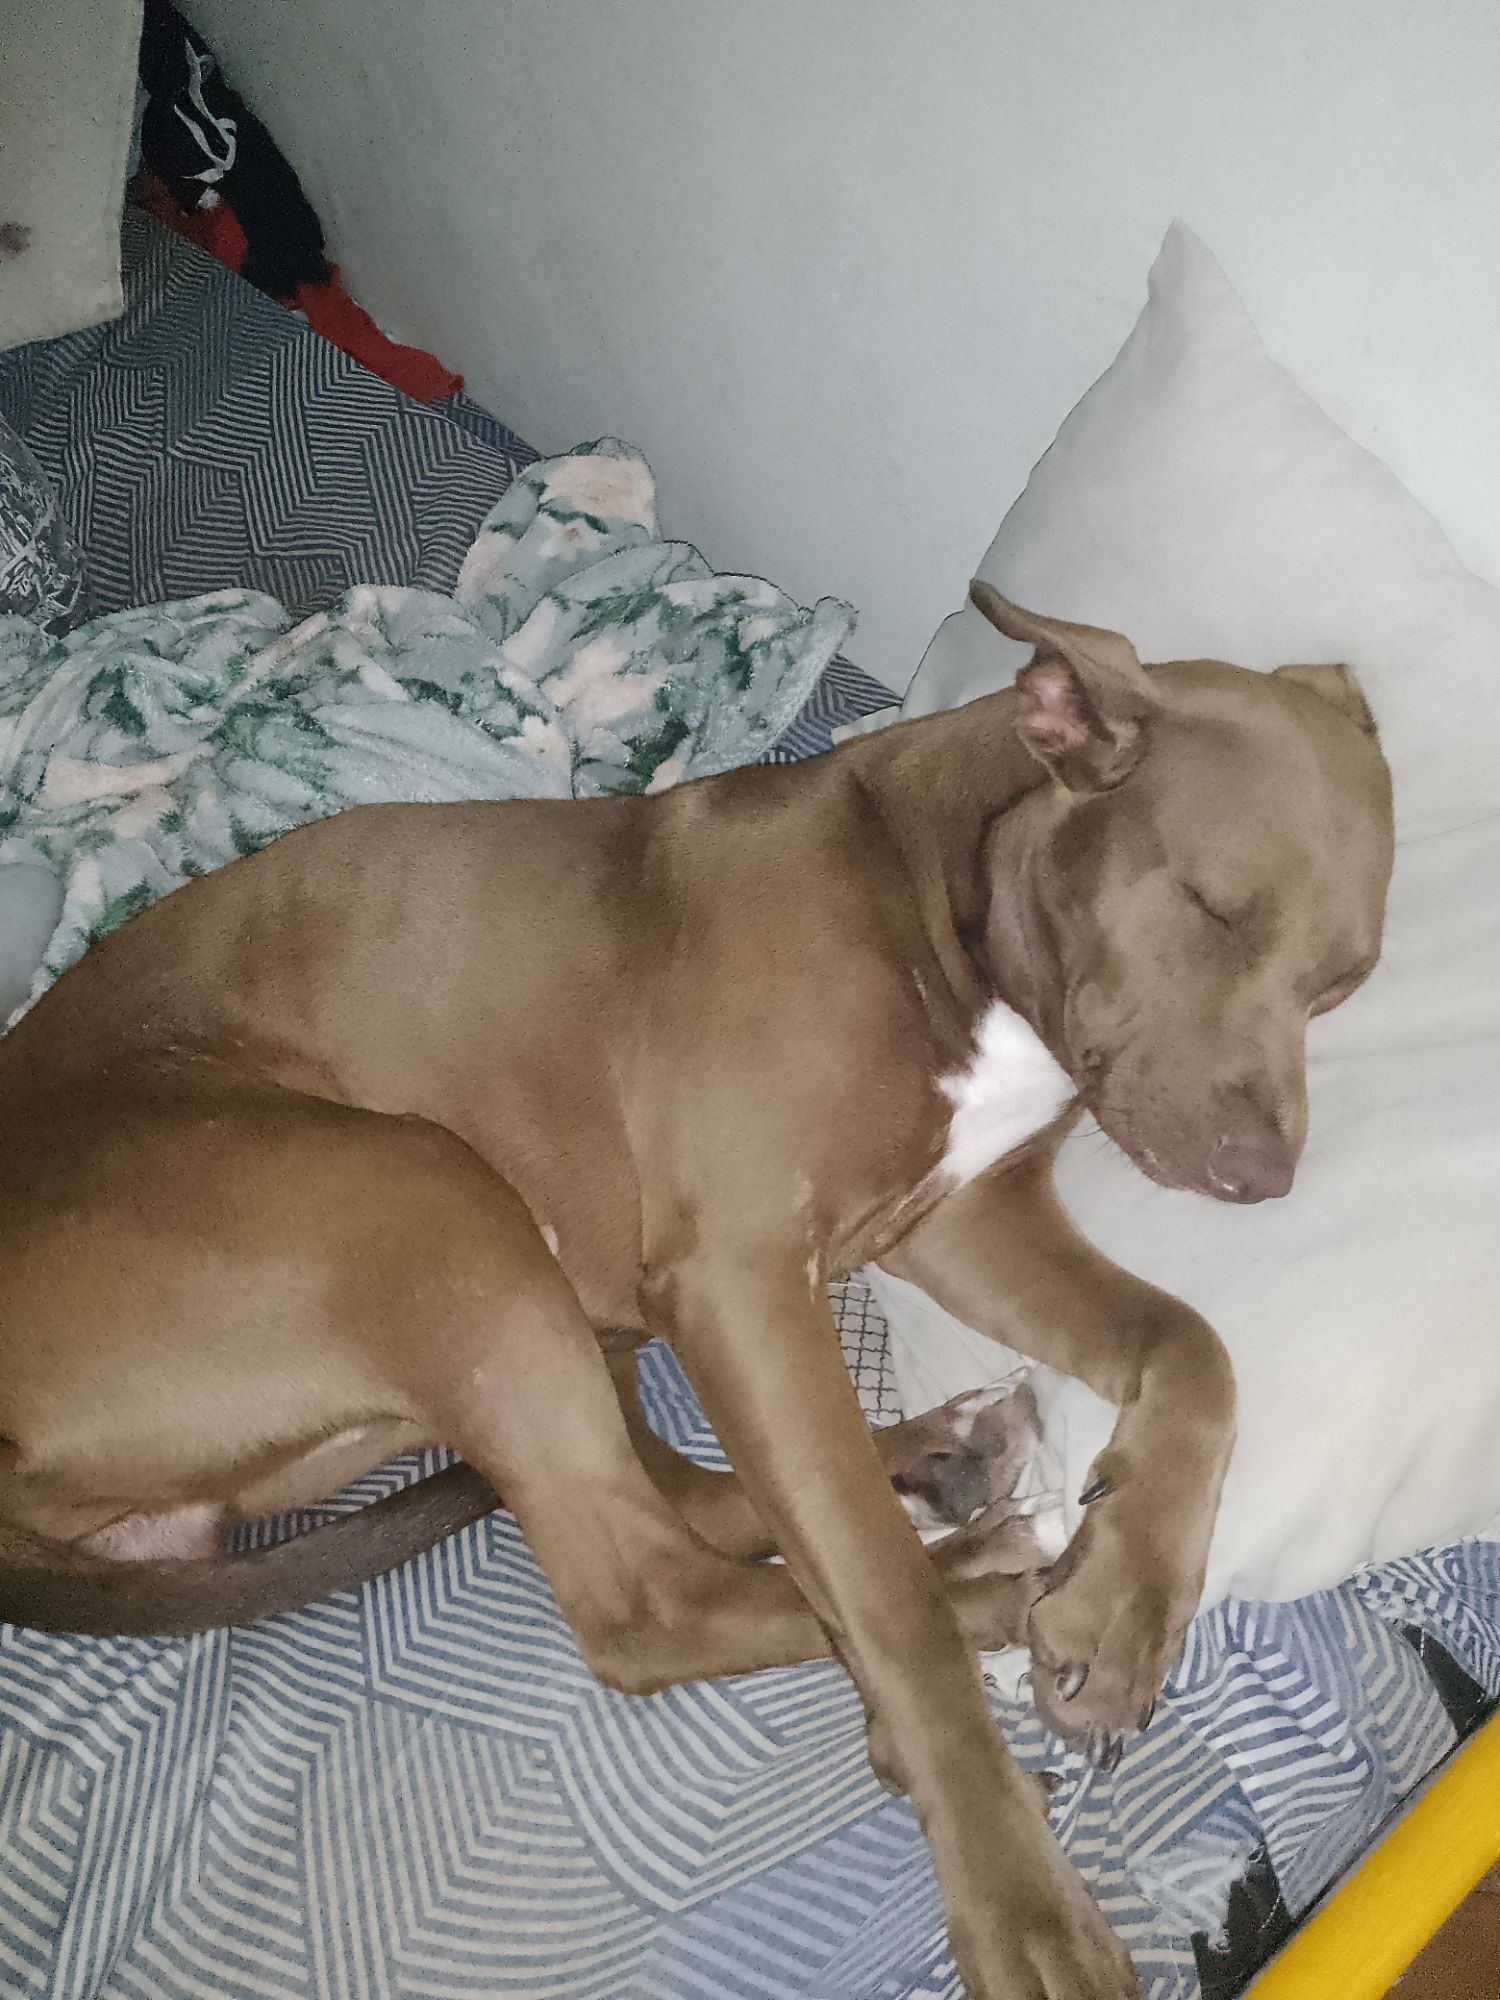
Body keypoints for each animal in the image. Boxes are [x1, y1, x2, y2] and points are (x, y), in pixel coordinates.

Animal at [0, 587, 1394, 2000]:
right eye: (1213, 908)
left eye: (1341, 982)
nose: (1265, 1179)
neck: (945, 903)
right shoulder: (741, 1269)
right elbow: (889, 1608)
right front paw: (1021, 1896)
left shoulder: (962, 1223)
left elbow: (1193, 1340)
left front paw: (1126, 1607)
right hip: (424, 1193)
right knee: (652, 1594)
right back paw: (992, 1576)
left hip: (534, 1289)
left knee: (699, 1497)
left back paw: (954, 1468)